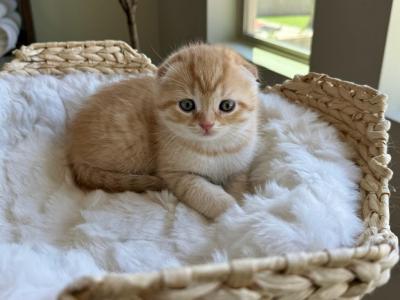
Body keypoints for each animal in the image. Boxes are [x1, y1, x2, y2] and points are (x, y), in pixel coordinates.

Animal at [67, 44, 260, 218]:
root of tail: (74, 152)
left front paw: (244, 204)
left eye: (227, 106)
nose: (207, 124)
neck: (214, 148)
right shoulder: (175, 174)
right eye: (187, 105)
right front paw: (233, 212)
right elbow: (206, 195)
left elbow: (239, 187)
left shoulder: (240, 168)